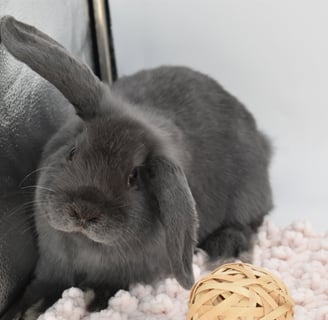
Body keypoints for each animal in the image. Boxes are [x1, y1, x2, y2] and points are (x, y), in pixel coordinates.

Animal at [0, 16, 272, 320]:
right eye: (73, 152)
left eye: (133, 177)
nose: (83, 211)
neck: (84, 244)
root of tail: (261, 140)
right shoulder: (52, 266)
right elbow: (41, 287)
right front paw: (22, 310)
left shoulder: (120, 274)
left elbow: (108, 287)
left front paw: (94, 303)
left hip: (247, 194)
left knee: (247, 222)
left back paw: (226, 248)